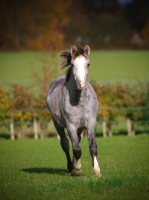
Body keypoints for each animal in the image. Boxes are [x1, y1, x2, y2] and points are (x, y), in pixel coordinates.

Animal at [46, 44, 101, 177]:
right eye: (72, 64)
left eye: (88, 64)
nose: (81, 84)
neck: (79, 102)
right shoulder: (70, 125)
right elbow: (76, 149)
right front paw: (77, 170)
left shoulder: (91, 123)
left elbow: (92, 147)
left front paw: (97, 171)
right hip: (58, 125)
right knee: (66, 144)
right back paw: (71, 168)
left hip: (79, 128)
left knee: (76, 142)